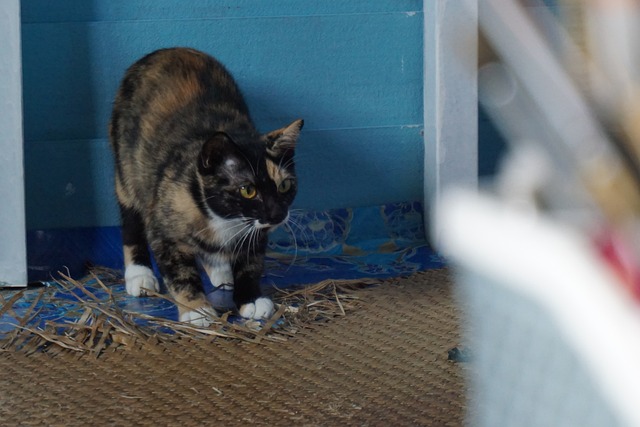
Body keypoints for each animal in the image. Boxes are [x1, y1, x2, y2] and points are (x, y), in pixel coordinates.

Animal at [109, 46, 304, 326]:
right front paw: (196, 309)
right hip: (126, 168)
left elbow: (251, 263)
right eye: (248, 190)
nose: (278, 214)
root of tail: (166, 50)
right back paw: (139, 273)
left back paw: (221, 269)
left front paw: (251, 298)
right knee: (131, 219)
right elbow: (180, 272)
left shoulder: (256, 232)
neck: (226, 220)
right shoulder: (164, 230)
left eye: (285, 186)